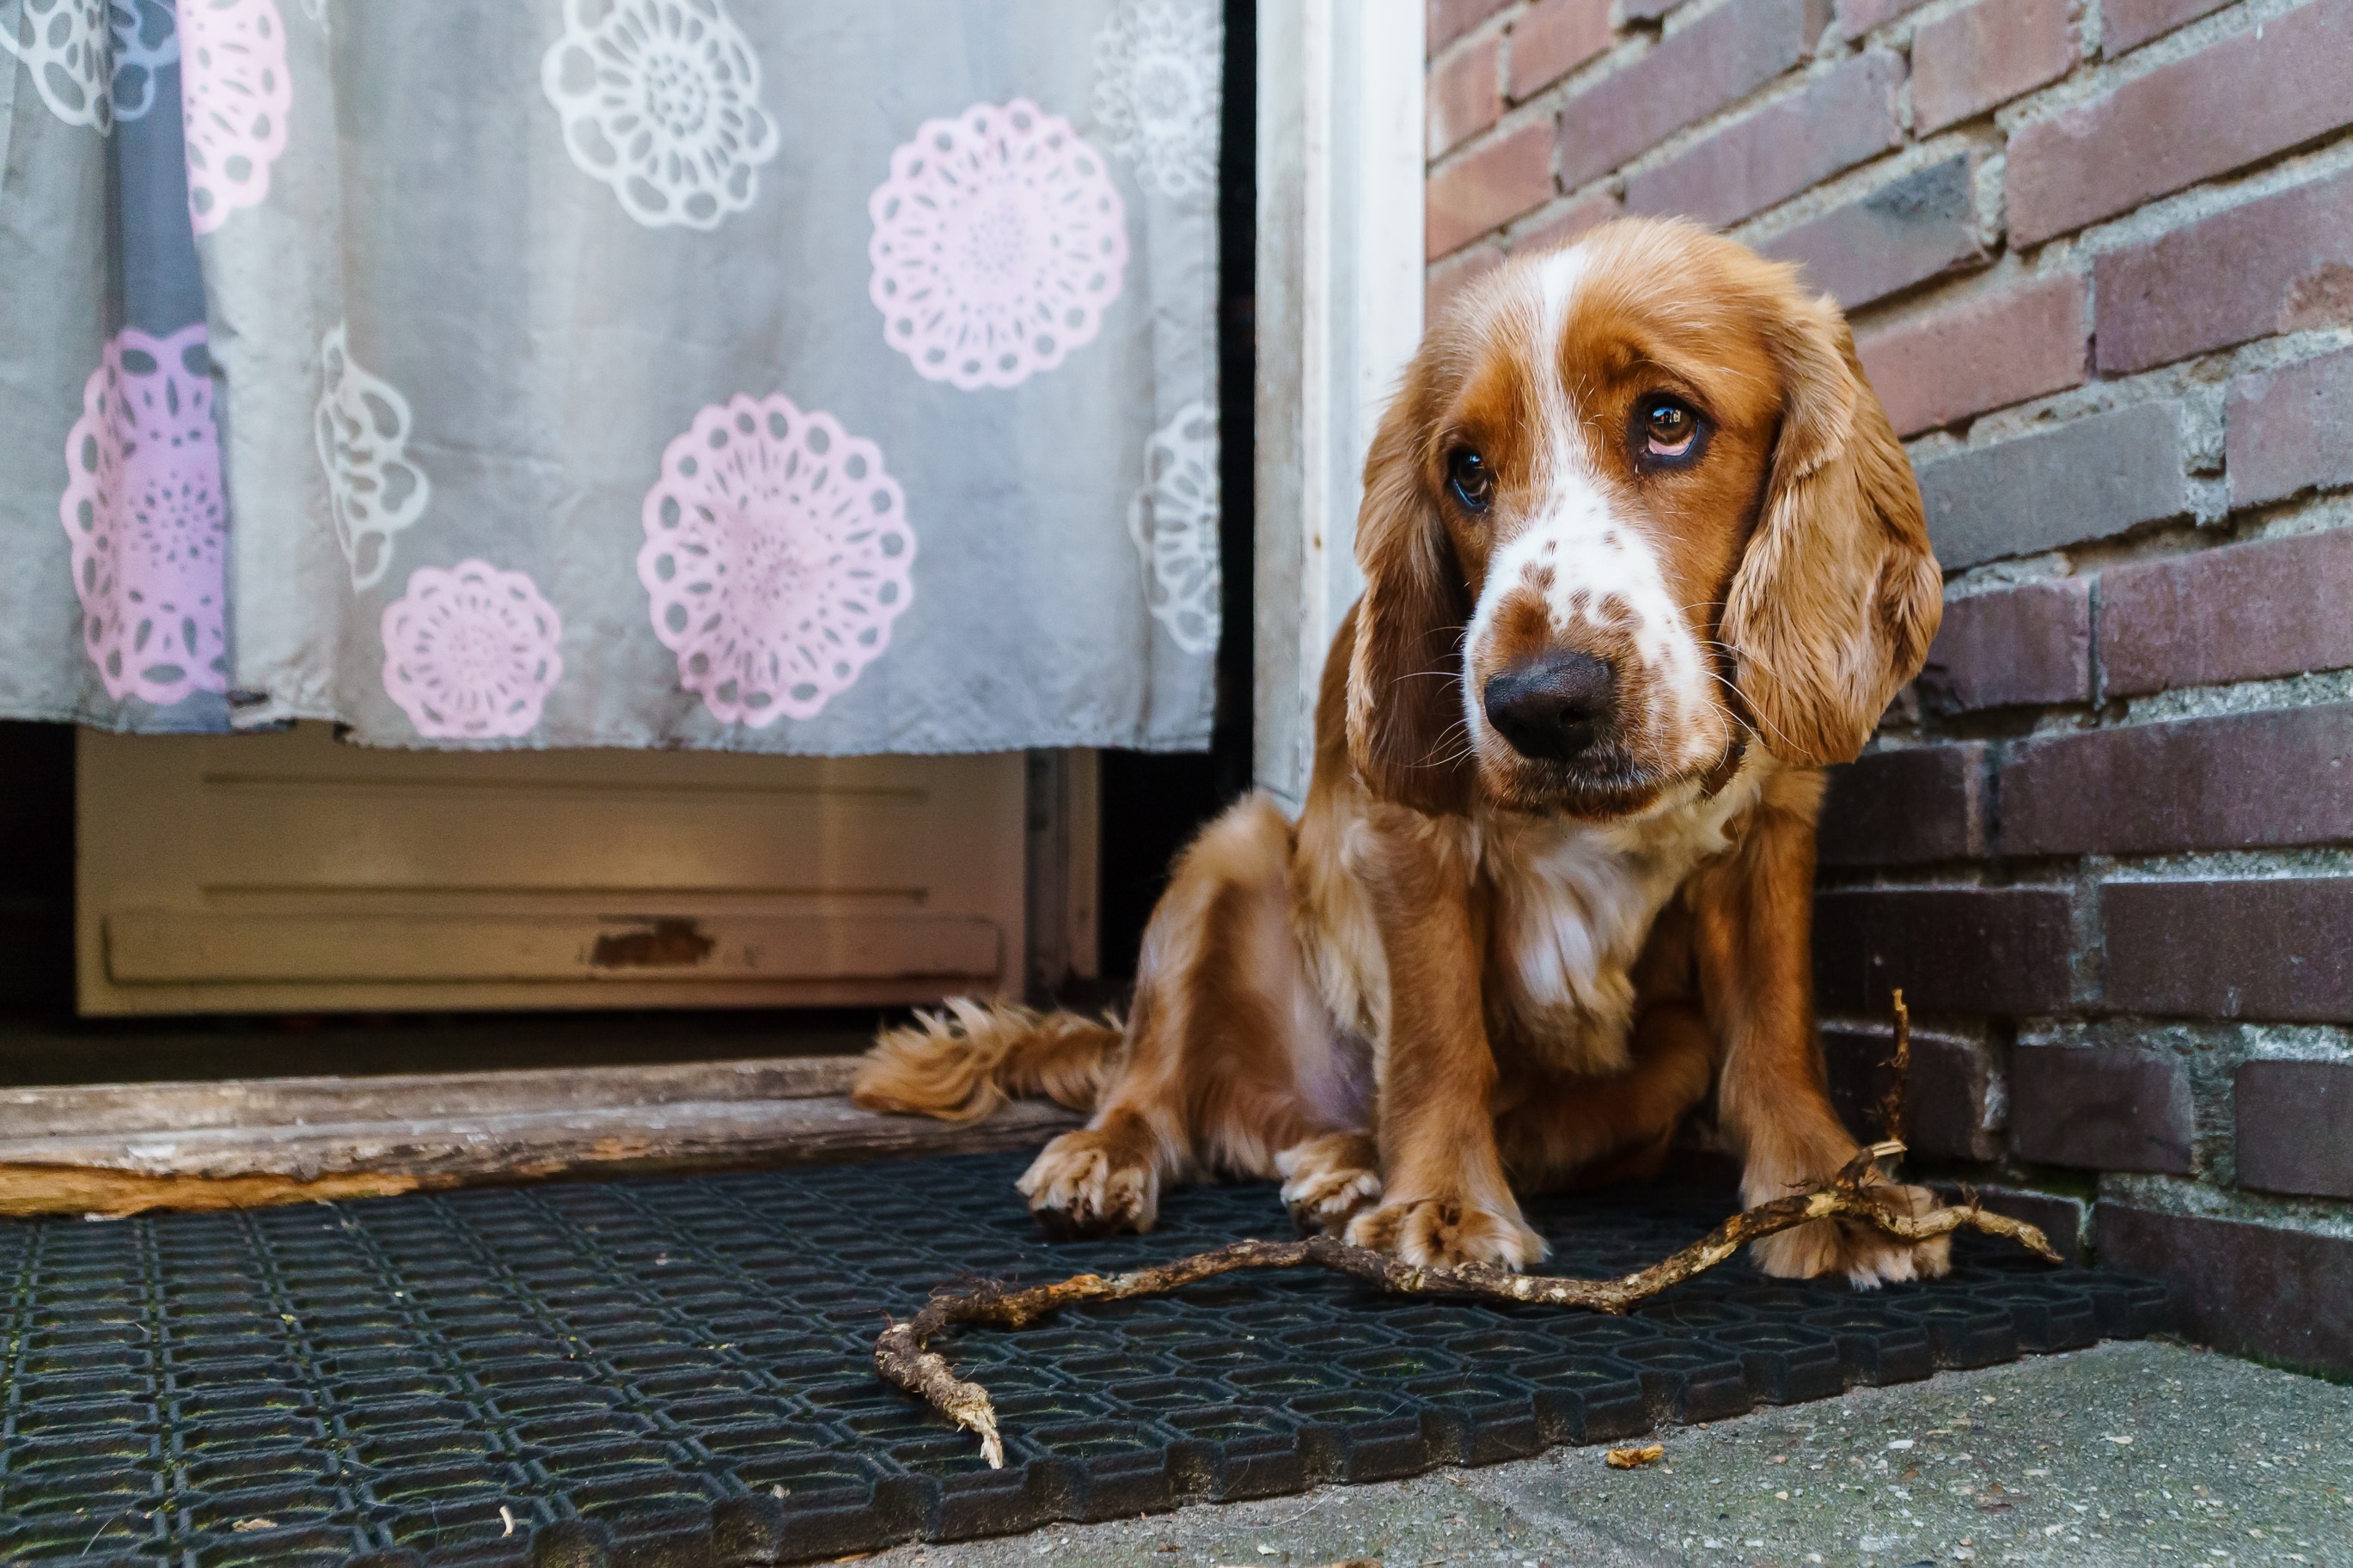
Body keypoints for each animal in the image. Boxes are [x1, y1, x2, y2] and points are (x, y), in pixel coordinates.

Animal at [861, 217, 1948, 1288]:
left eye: (1668, 421)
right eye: (1465, 470)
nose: (1538, 705)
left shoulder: (1771, 831)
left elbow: (1775, 1027)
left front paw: (1833, 1198)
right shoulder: (1407, 839)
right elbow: (1436, 1032)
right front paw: (1442, 1206)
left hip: (1666, 1053)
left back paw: (1342, 1168)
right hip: (1226, 853)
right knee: (1151, 1077)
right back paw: (1114, 1156)